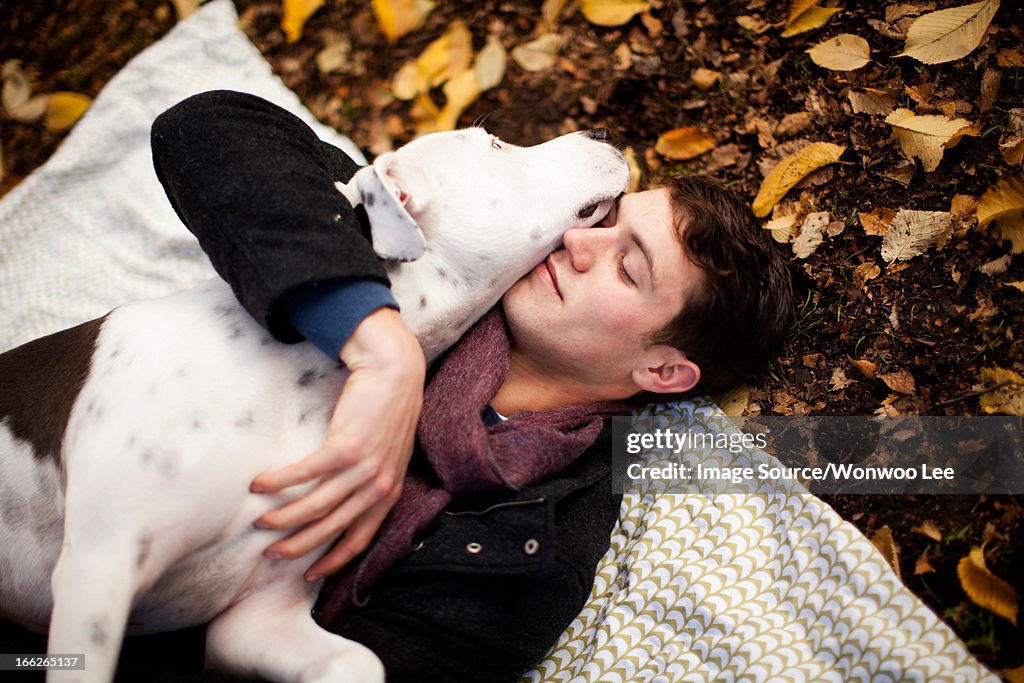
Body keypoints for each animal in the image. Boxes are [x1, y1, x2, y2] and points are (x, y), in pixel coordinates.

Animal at [0, 124, 626, 683]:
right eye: (496, 146)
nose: (603, 130)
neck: (311, 372)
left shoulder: (259, 617)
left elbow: (361, 662)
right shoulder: (96, 571)